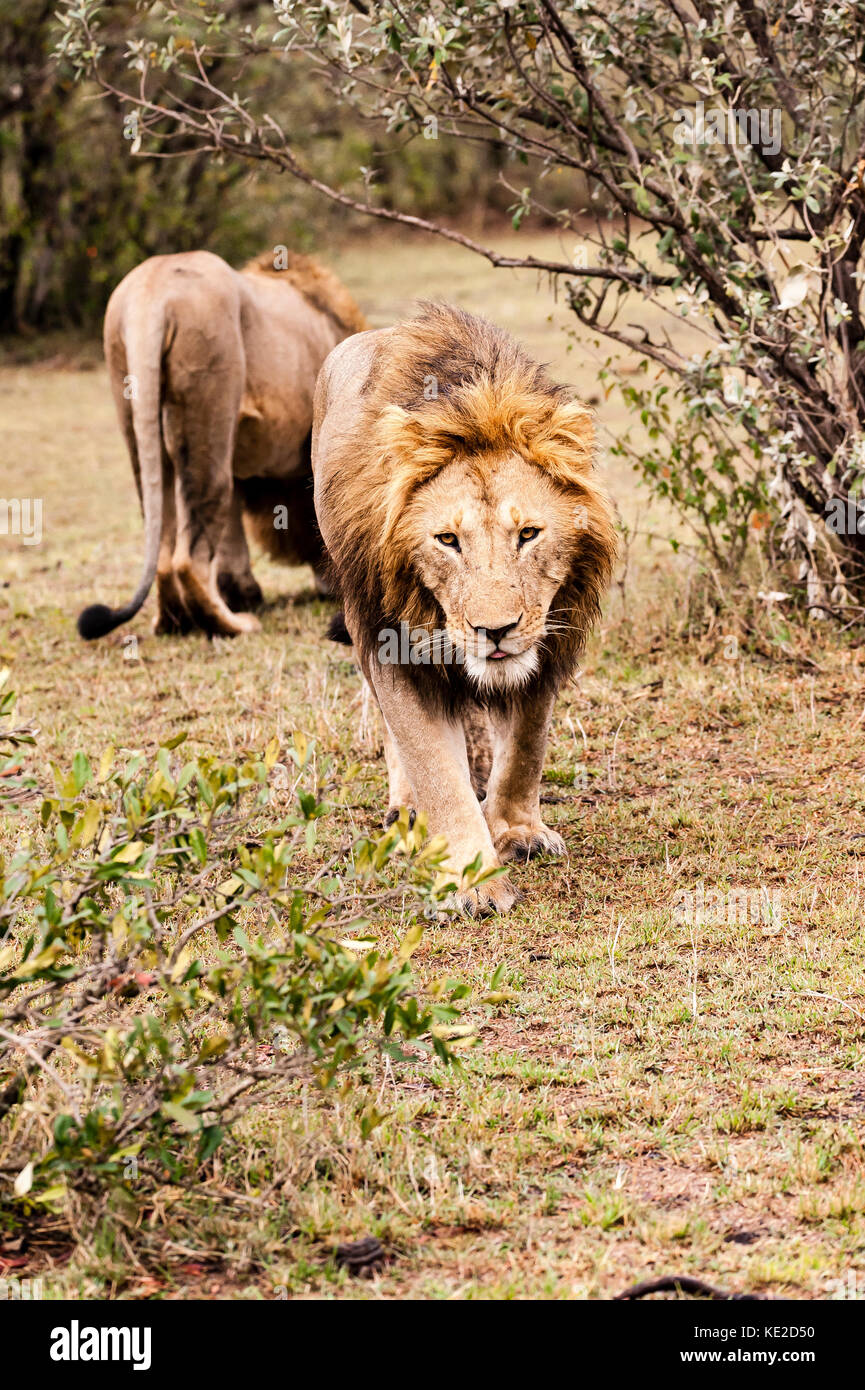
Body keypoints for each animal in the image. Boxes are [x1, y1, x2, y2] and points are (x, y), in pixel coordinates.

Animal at [76, 250, 367, 639]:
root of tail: (151, 293)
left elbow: (232, 520)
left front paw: (242, 591)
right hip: (208, 401)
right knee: (189, 558)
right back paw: (234, 624)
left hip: (134, 401)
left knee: (166, 550)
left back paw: (175, 621)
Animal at [311, 298, 617, 917]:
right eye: (447, 540)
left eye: (528, 533)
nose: (494, 630)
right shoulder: (391, 642)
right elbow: (435, 767)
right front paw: (473, 880)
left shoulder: (547, 640)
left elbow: (525, 746)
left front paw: (518, 832)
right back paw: (406, 808)